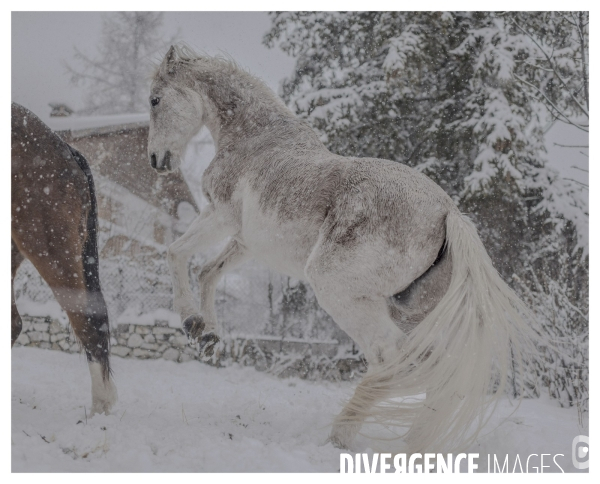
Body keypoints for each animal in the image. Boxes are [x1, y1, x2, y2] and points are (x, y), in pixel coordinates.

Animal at [145, 46, 536, 454]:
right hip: (409, 314)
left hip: (341, 292)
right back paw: (411, 444)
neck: (255, 138)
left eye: (155, 100)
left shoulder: (220, 216)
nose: (156, 160)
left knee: (390, 359)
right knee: (432, 367)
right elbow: (208, 272)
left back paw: (339, 438)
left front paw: (190, 320)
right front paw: (207, 337)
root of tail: (448, 214)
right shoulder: (246, 242)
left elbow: (176, 253)